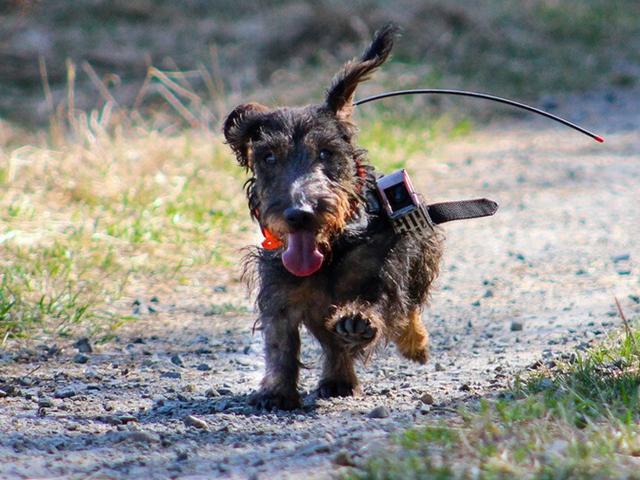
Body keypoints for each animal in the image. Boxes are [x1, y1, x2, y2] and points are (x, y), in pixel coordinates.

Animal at [222, 25, 442, 408]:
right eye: (268, 157)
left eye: (326, 152)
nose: (300, 214)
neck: (332, 250)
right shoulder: (280, 291)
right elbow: (280, 344)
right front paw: (276, 391)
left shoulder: (385, 267)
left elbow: (382, 303)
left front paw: (359, 320)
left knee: (410, 308)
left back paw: (414, 344)